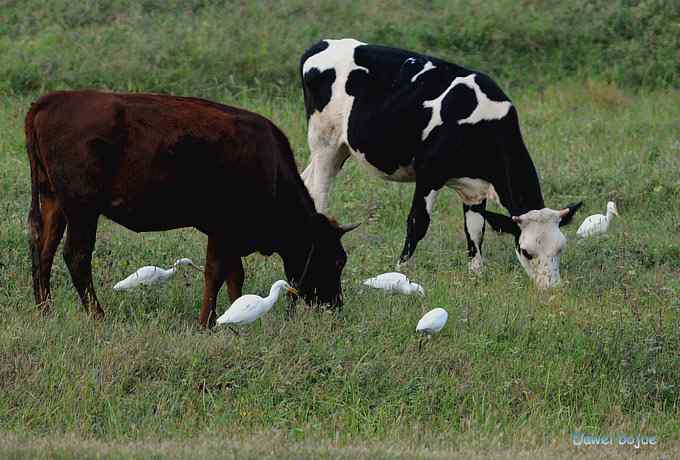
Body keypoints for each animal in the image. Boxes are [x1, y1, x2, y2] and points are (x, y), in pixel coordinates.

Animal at [25, 90, 356, 328]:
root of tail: (52, 99)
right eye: (338, 260)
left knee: (44, 249)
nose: (336, 304)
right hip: (82, 210)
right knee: (76, 256)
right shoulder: (223, 230)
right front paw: (206, 322)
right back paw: (97, 316)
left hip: (54, 201)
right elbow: (215, 273)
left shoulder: (230, 235)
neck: (270, 167)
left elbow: (234, 274)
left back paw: (45, 310)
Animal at [300, 40, 580, 292]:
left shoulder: (474, 189)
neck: (481, 123)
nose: (551, 288)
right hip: (324, 143)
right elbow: (417, 223)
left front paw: (476, 274)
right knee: (320, 193)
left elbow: (475, 230)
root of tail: (321, 44)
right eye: (526, 251)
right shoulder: (429, 173)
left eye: (560, 248)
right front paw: (401, 271)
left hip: (339, 150)